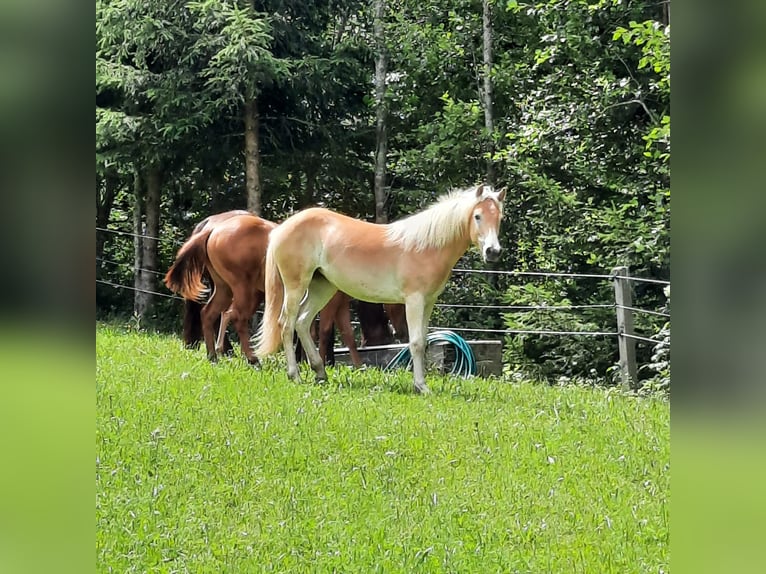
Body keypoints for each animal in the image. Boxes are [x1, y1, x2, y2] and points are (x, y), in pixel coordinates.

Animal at [258, 184, 508, 396]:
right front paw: (421, 386)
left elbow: (424, 341)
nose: (493, 252)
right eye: (477, 216)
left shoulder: (428, 302)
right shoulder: (414, 300)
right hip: (296, 285)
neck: (428, 245)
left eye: (500, 218)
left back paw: (320, 373)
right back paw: (295, 375)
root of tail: (282, 228)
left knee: (302, 322)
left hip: (322, 287)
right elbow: (416, 343)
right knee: (286, 323)